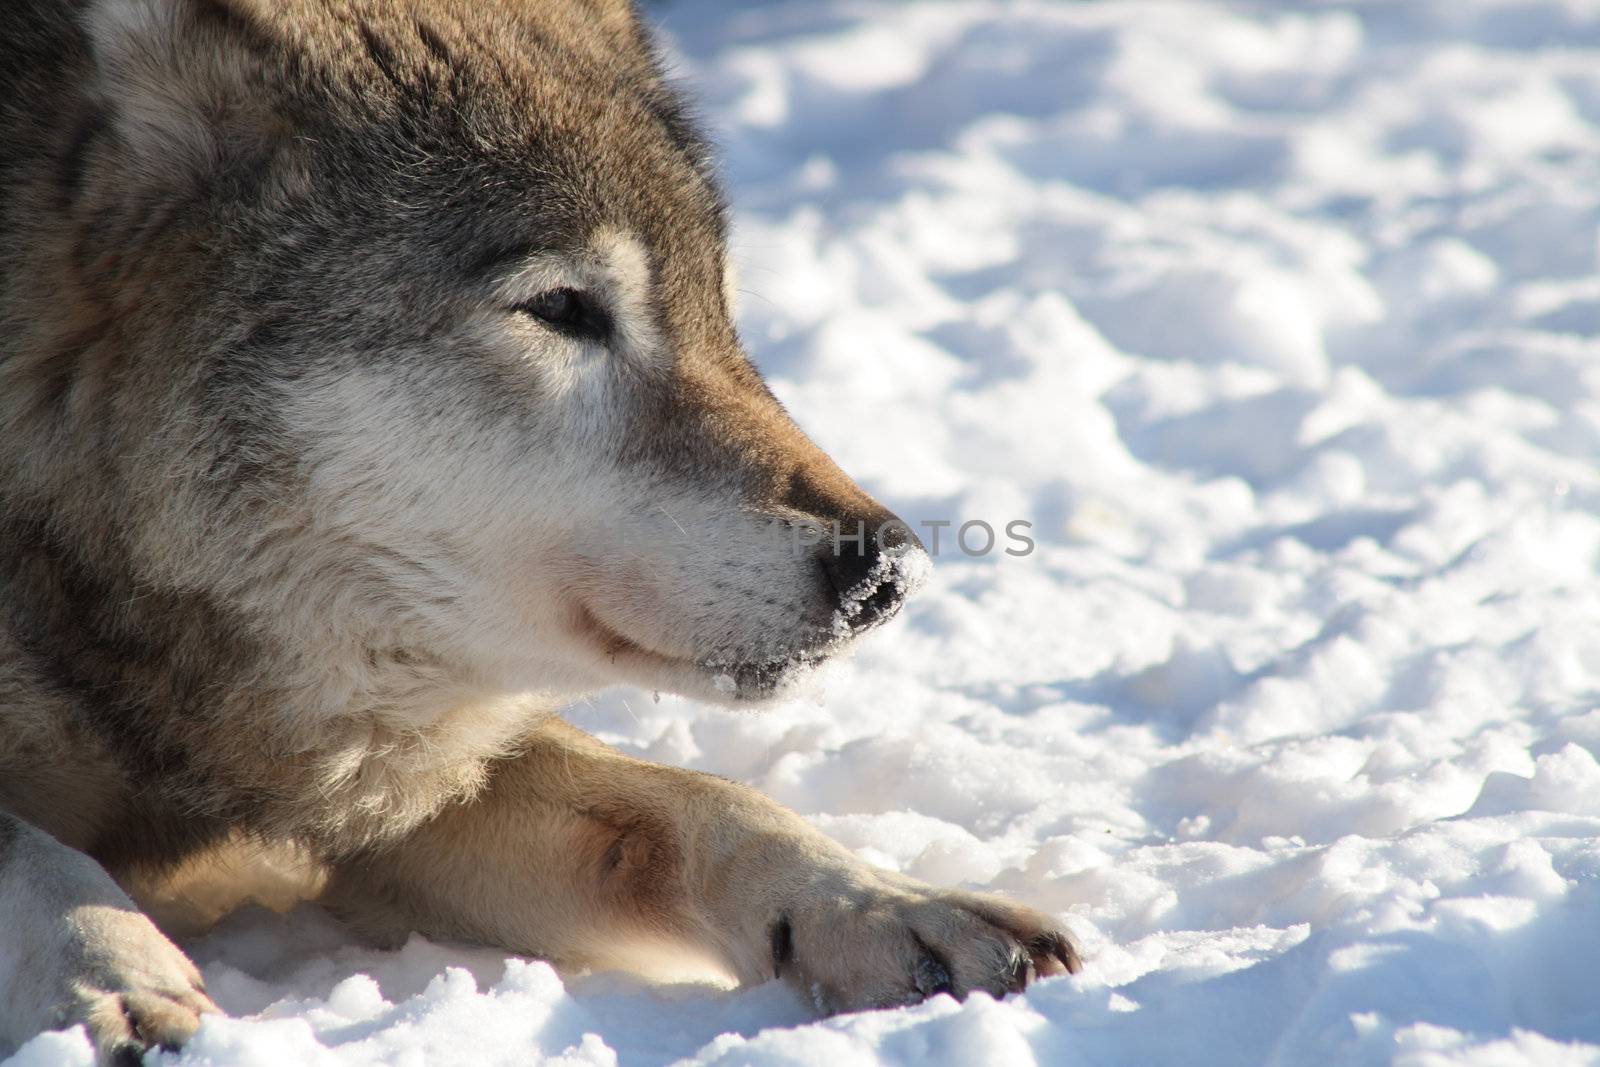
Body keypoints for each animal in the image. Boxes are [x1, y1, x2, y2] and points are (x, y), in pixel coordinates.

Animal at [0, 0, 1081, 1055]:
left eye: (716, 310)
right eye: (562, 308)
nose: (887, 574)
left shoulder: (400, 778)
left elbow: (698, 800)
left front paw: (891, 903)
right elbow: (27, 848)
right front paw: (116, 980)